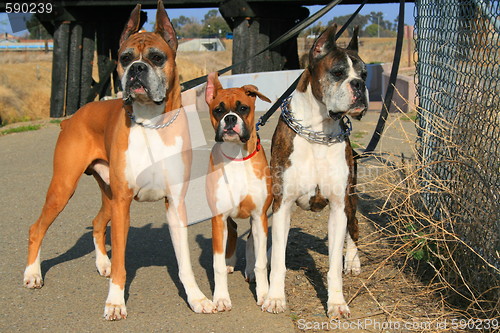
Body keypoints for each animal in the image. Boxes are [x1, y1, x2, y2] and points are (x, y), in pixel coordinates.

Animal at [23, 1, 215, 320]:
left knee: (97, 223)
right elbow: (121, 264)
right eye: (124, 58)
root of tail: (72, 117)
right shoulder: (124, 203)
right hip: (64, 187)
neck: (151, 122)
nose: (137, 68)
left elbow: (185, 263)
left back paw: (101, 262)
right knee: (37, 228)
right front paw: (115, 302)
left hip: (107, 193)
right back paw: (32, 274)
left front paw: (197, 298)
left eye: (157, 57)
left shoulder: (175, 204)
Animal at [204, 72, 274, 312]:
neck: (237, 157)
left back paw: (250, 271)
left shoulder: (259, 216)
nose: (230, 119)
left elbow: (261, 261)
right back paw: (230, 262)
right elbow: (216, 263)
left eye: (243, 108)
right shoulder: (218, 218)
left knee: (252, 240)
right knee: (234, 232)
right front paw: (221, 298)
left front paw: (264, 294)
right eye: (218, 110)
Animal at [262, 24, 368, 318]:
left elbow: (333, 266)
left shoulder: (338, 207)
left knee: (354, 229)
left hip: (351, 200)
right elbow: (278, 261)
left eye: (365, 73)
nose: (360, 85)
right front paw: (275, 297)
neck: (319, 130)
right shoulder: (282, 204)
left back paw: (352, 261)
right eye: (338, 72)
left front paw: (337, 303)